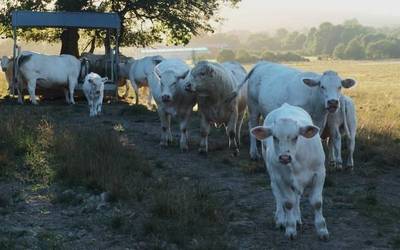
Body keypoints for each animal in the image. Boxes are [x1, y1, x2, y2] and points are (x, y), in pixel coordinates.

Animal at [252, 103, 330, 240]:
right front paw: (290, 229)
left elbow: (317, 202)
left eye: (296, 137)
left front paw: (322, 230)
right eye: (275, 137)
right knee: (279, 196)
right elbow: (288, 203)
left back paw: (297, 218)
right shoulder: (280, 179)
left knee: (296, 197)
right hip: (273, 175)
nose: (284, 157)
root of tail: (285, 105)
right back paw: (281, 219)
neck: (296, 162)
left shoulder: (320, 173)